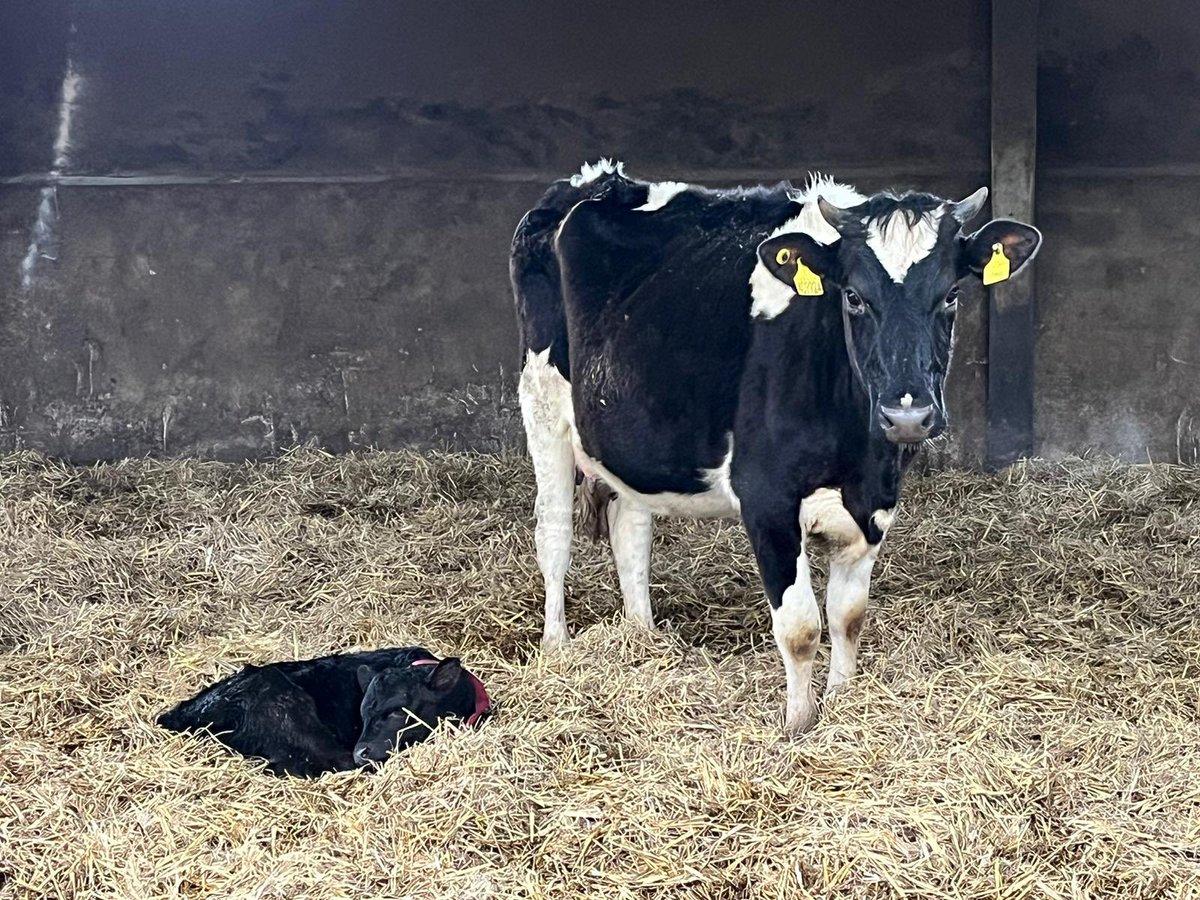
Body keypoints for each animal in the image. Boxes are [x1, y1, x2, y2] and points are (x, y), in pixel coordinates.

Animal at [511, 159, 1041, 734]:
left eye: (950, 295)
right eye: (853, 296)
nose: (907, 415)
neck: (857, 457)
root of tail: (600, 178)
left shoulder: (875, 505)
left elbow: (848, 616)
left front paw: (842, 699)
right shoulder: (766, 499)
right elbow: (801, 626)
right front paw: (798, 724)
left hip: (633, 434)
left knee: (630, 528)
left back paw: (643, 638)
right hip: (542, 404)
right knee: (554, 533)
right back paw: (557, 647)